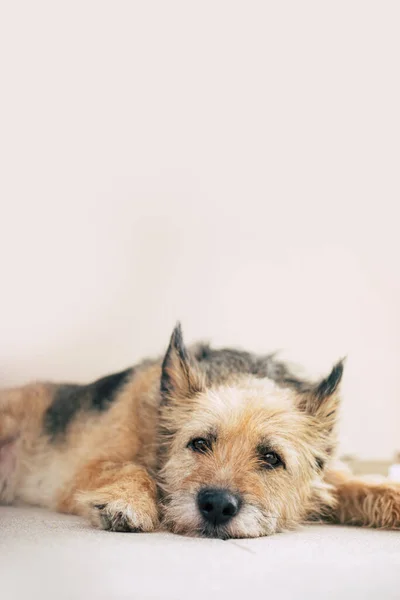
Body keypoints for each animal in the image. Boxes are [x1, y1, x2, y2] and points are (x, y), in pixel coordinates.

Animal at [0, 326, 400, 536]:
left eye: (272, 458)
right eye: (199, 442)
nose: (217, 506)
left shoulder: (330, 476)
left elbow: (361, 485)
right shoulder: (86, 468)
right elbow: (132, 467)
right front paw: (128, 501)